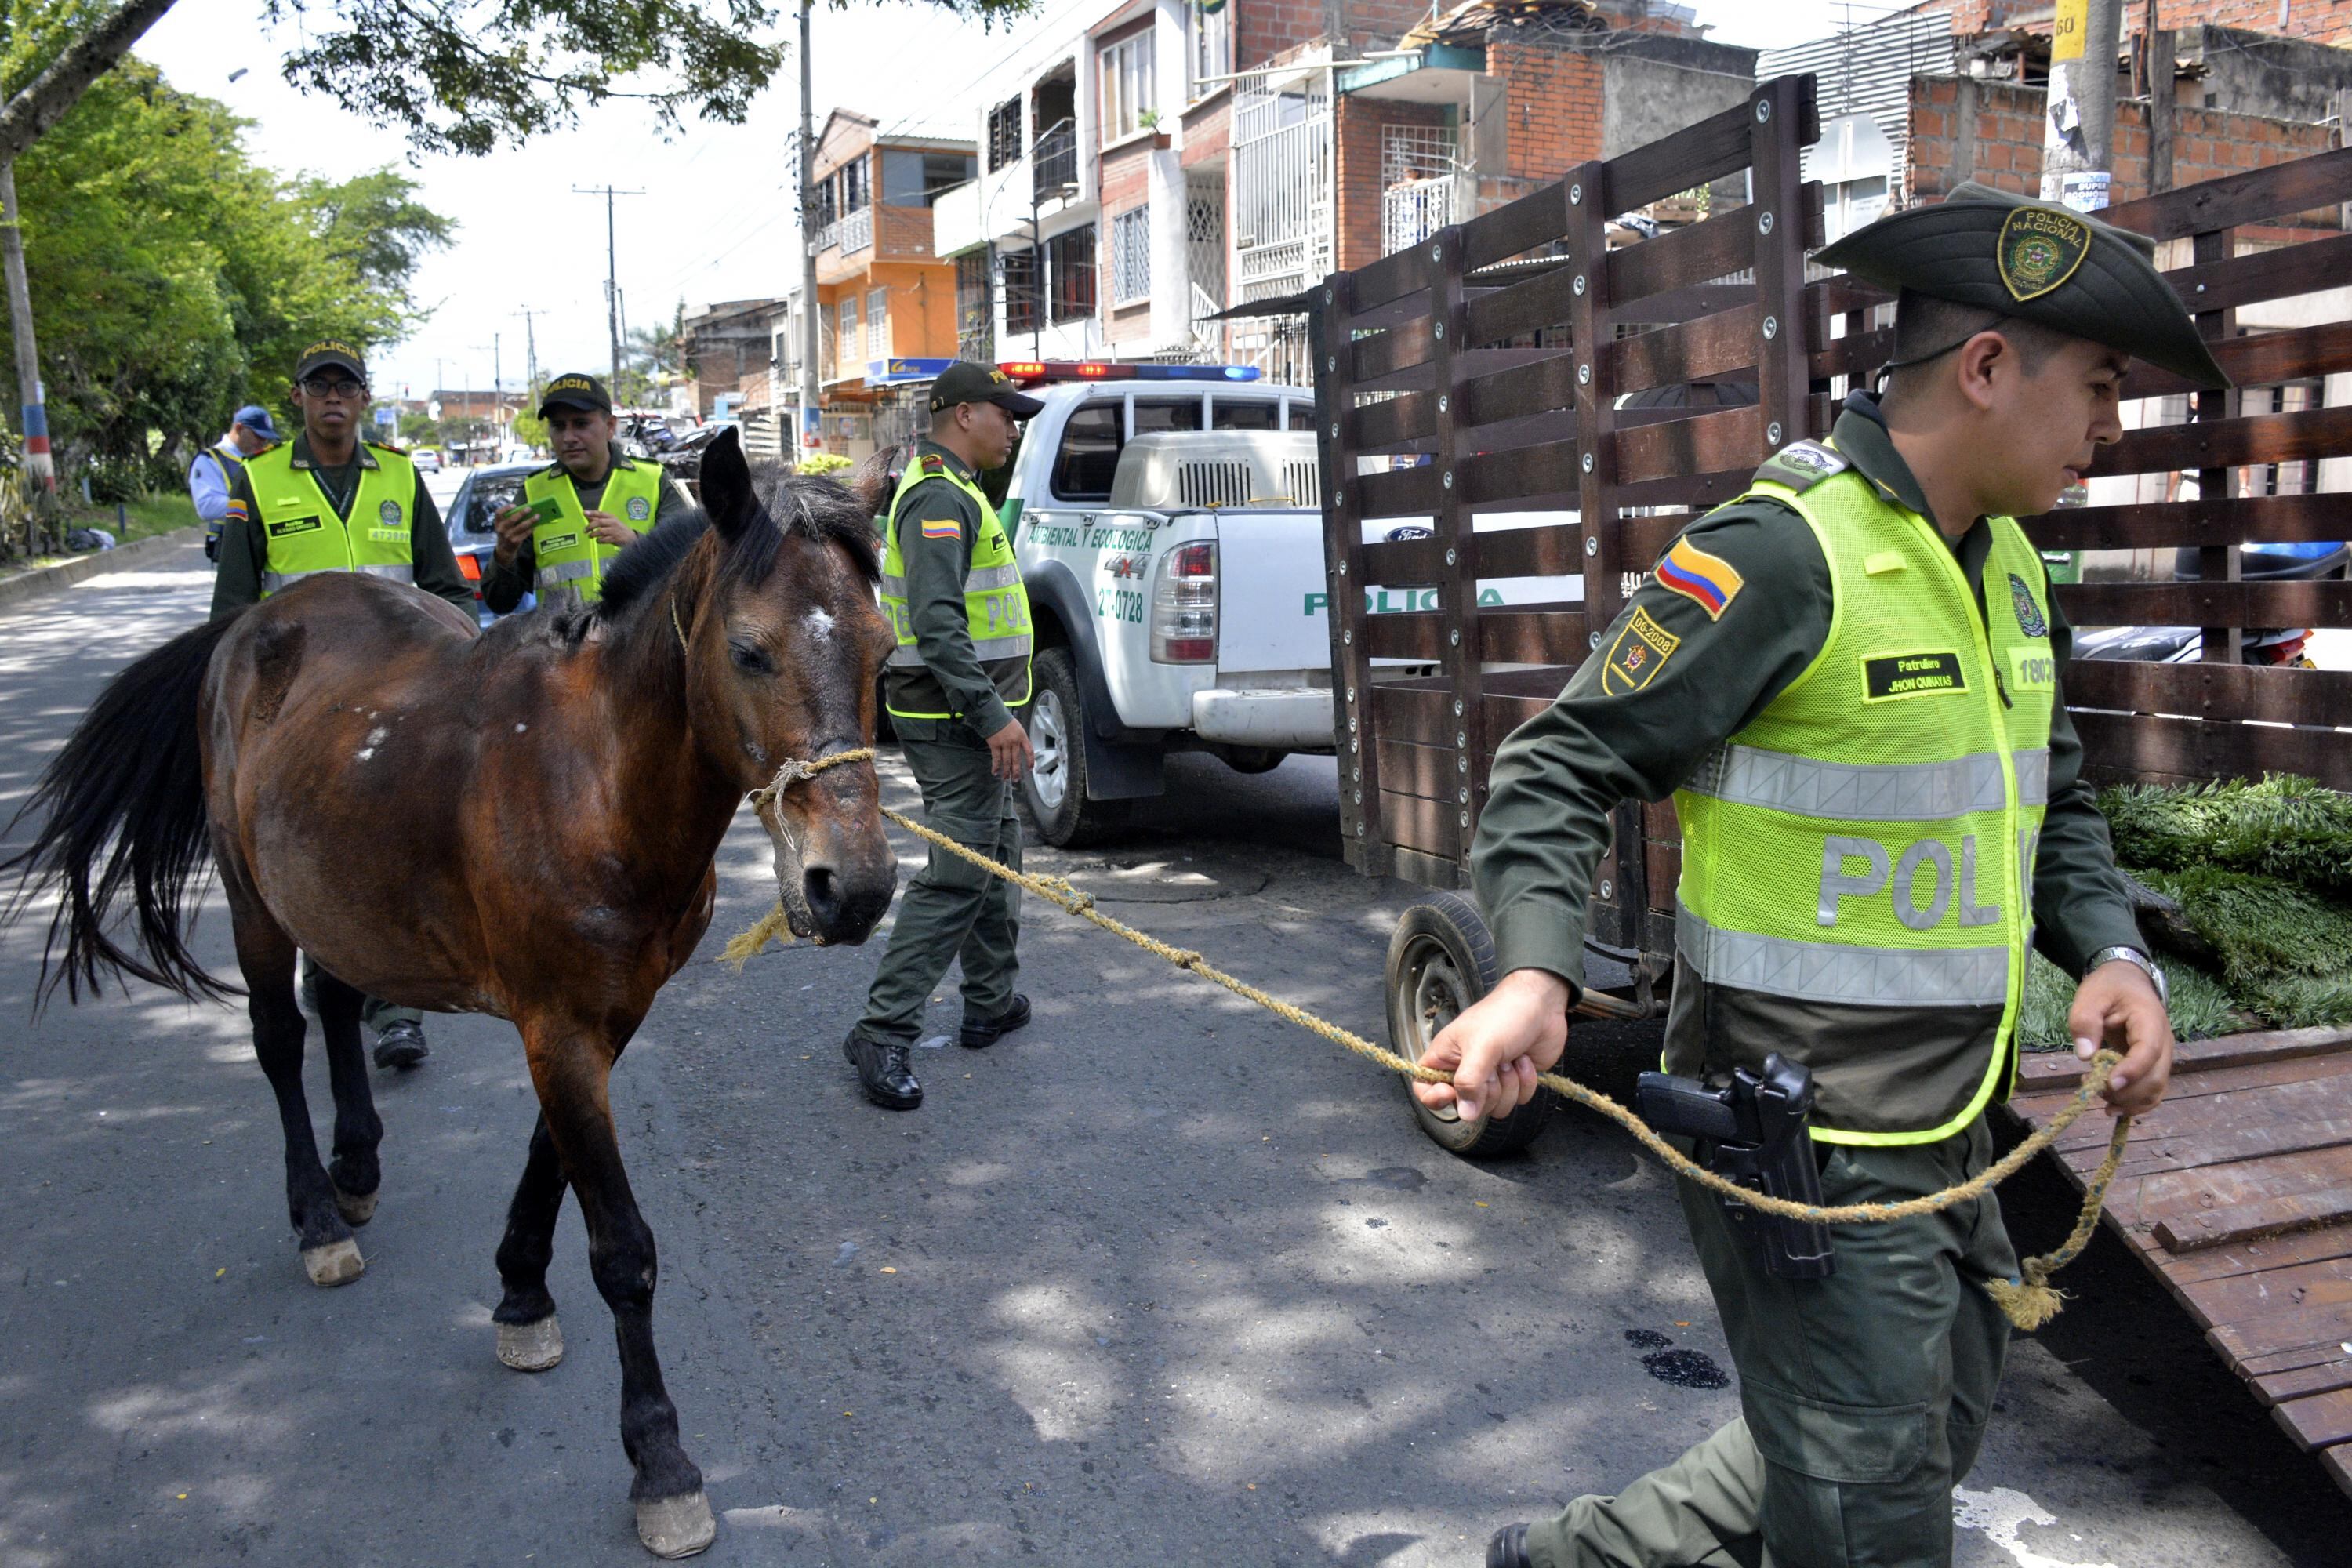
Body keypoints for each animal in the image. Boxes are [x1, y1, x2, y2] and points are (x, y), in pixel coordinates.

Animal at [2, 429, 897, 1558]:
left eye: (884, 652)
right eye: (749, 650)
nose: (851, 888)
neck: (596, 777)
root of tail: (248, 626)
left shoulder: (607, 1016)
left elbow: (548, 1162)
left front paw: (519, 1293)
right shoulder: (560, 1024)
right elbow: (622, 1247)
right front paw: (659, 1458)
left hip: (341, 893)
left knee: (340, 1005)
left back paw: (356, 1166)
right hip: (254, 901)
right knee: (279, 1039)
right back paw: (318, 1218)